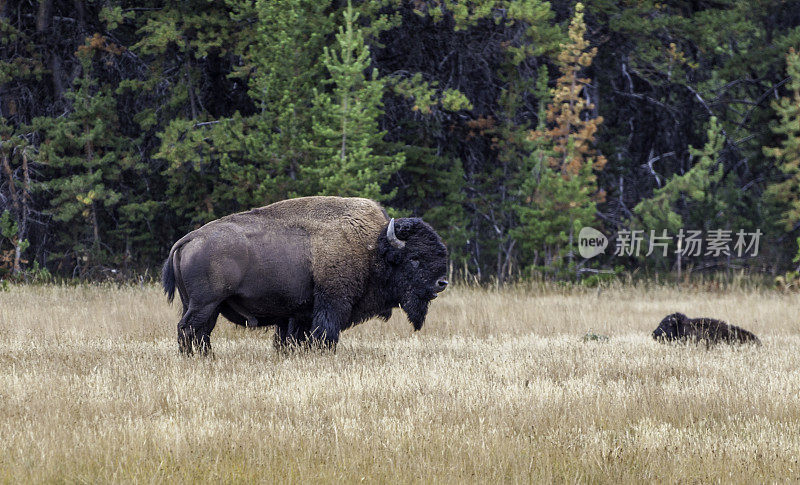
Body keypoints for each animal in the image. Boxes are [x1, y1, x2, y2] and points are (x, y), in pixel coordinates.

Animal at [162, 195, 450, 354]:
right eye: (414, 259)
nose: (442, 282)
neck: (373, 247)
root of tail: (188, 239)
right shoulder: (332, 304)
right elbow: (325, 336)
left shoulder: (299, 314)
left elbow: (292, 339)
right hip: (205, 303)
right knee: (189, 330)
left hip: (202, 305)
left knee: (200, 333)